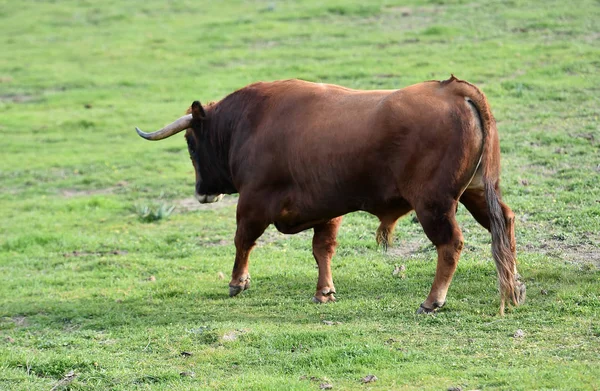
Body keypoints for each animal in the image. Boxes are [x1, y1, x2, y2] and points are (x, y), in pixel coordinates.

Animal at [136, 76, 524, 316]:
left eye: (191, 143)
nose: (202, 193)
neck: (250, 122)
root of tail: (454, 90)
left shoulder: (252, 203)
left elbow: (242, 241)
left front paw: (237, 282)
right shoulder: (327, 209)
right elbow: (322, 249)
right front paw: (324, 291)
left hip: (434, 204)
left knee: (450, 244)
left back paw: (432, 300)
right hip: (477, 191)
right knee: (503, 224)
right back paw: (515, 287)